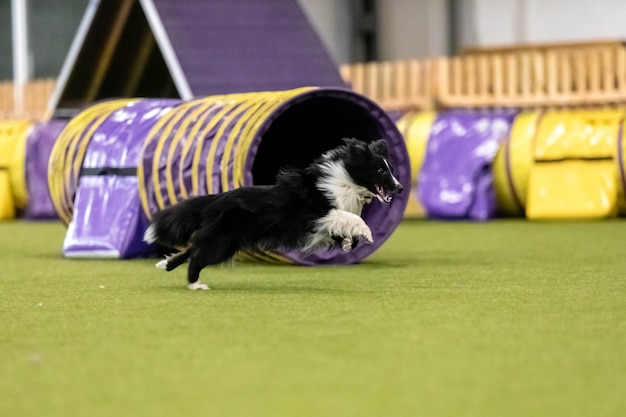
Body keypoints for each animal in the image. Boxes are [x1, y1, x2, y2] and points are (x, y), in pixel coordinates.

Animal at [143, 138, 400, 288]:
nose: (400, 188)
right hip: (224, 241)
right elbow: (352, 217)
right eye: (381, 170)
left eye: (391, 169)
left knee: (192, 248)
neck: (346, 179)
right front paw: (366, 233)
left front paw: (348, 243)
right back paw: (195, 284)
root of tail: (216, 199)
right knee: (197, 256)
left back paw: (165, 265)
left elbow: (346, 227)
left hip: (221, 239)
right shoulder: (317, 214)